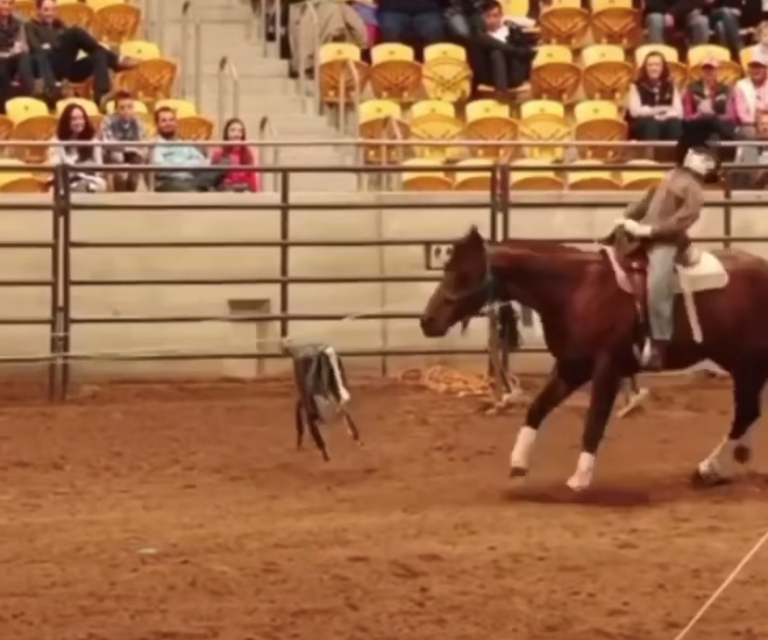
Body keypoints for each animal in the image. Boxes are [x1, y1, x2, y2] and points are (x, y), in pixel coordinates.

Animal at [419, 226, 768, 491]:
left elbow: (594, 421)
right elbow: (537, 409)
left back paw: (708, 467)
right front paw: (518, 463)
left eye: (463, 273)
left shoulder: (607, 368)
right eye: (446, 268)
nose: (427, 321)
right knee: (747, 413)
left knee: (745, 413)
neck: (575, 289)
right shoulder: (571, 366)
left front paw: (580, 478)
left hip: (747, 363)